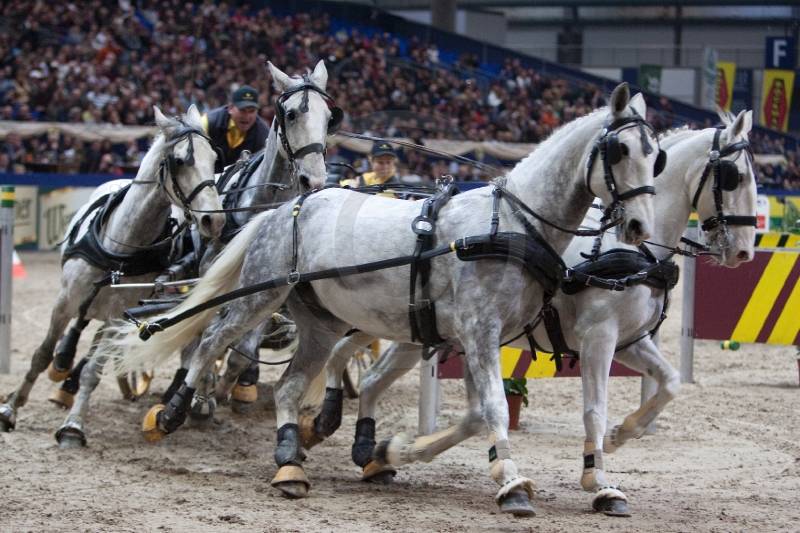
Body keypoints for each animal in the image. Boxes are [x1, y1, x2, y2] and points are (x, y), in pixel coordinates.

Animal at [0, 105, 227, 446]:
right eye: (180, 160)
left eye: (214, 160)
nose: (215, 221)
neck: (122, 246)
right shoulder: (64, 301)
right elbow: (41, 354)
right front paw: (11, 408)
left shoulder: (120, 312)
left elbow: (94, 370)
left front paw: (73, 426)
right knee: (78, 327)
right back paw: (66, 364)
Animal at [103, 83, 659, 517]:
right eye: (619, 152)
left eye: (656, 155)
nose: (638, 227)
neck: (512, 224)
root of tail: (289, 206)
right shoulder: (480, 332)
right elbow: (497, 409)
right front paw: (512, 484)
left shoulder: (479, 338)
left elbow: (489, 410)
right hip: (260, 296)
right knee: (212, 341)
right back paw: (171, 412)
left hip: (322, 323)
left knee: (288, 387)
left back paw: (290, 463)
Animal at [320, 110, 757, 516]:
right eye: (733, 176)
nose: (744, 251)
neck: (632, 251)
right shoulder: (599, 338)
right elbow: (594, 410)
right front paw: (599, 480)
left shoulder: (630, 341)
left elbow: (670, 382)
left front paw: (619, 435)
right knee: (342, 354)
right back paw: (332, 419)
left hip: (411, 328)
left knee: (369, 376)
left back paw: (374, 451)